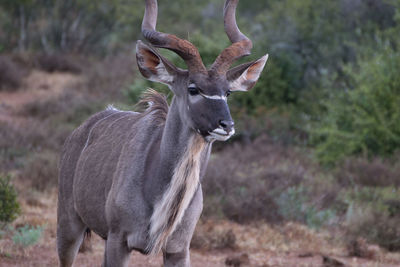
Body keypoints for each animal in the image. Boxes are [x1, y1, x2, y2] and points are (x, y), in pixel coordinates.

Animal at [56, 0, 268, 266]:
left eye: (227, 92)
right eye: (193, 89)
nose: (226, 125)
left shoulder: (179, 249)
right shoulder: (118, 240)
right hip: (68, 225)